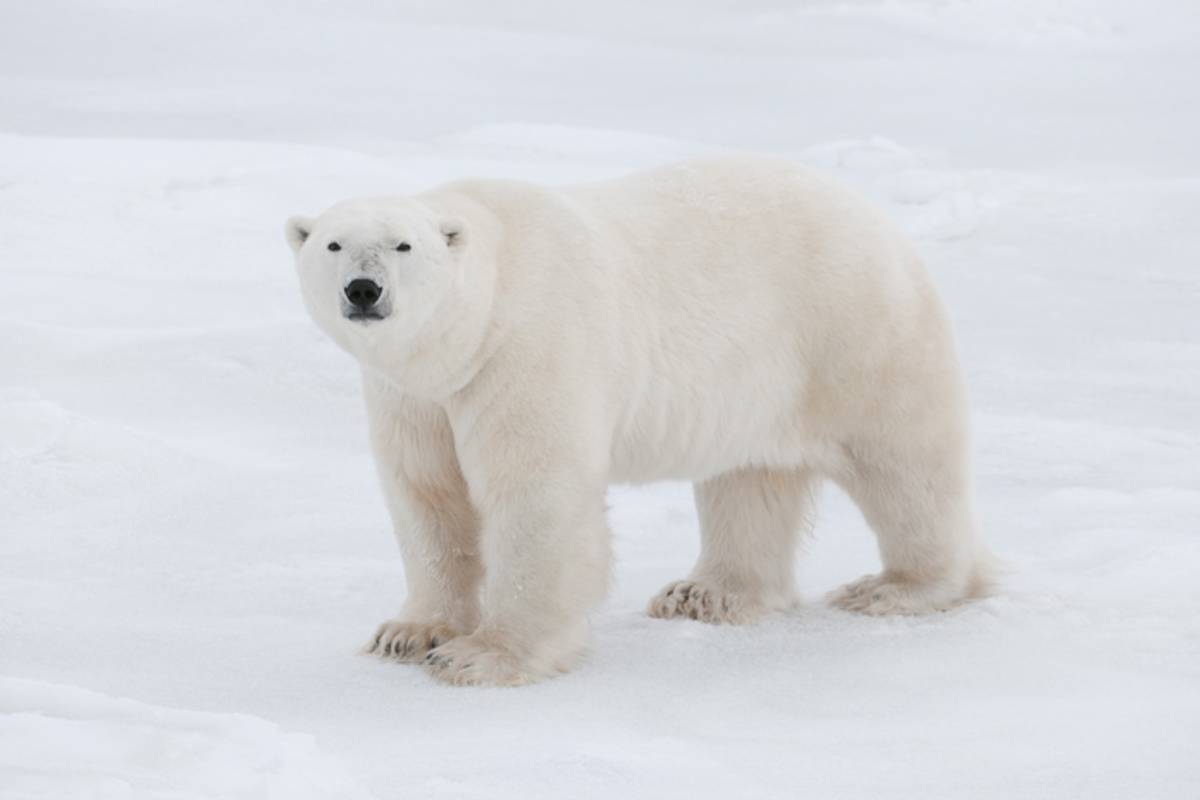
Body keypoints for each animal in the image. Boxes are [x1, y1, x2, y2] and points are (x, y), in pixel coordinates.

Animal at [285, 155, 988, 690]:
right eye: (333, 243)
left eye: (403, 245)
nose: (363, 290)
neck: (477, 322)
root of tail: (877, 219)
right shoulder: (414, 395)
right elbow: (427, 496)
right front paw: (408, 633)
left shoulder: (527, 350)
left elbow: (535, 495)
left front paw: (483, 656)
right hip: (758, 380)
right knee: (749, 480)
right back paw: (707, 593)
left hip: (851, 331)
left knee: (904, 464)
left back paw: (898, 588)